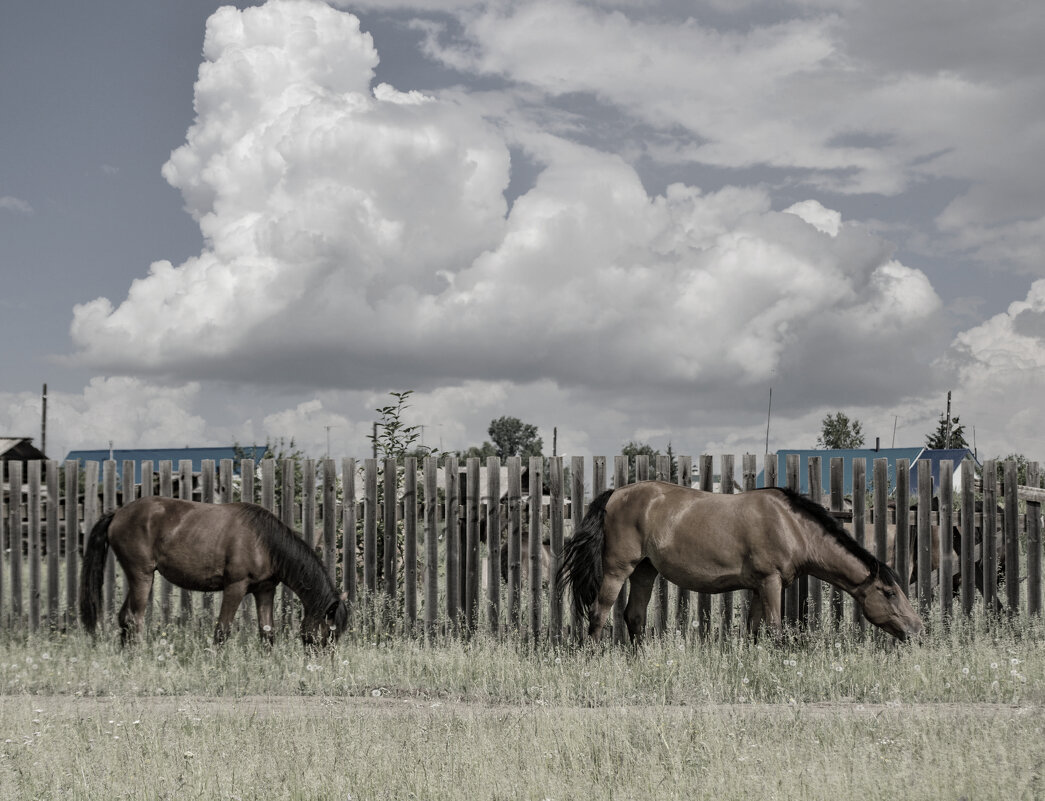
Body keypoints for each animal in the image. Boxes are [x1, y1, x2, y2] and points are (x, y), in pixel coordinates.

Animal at [80, 497, 351, 647]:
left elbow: (267, 632)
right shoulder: (235, 587)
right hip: (142, 576)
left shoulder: (264, 591)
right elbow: (222, 630)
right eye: (328, 633)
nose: (322, 664)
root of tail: (118, 513)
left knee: (124, 617)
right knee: (134, 618)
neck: (263, 542)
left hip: (138, 577)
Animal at [555, 482, 923, 643]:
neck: (790, 524)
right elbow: (774, 630)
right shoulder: (771, 583)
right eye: (890, 593)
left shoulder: (760, 586)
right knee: (599, 615)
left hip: (645, 571)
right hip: (618, 570)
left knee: (634, 616)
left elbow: (754, 629)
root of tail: (615, 494)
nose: (917, 629)